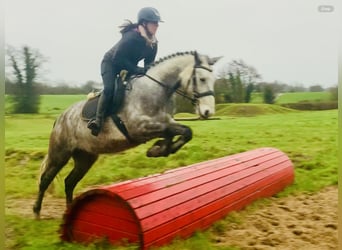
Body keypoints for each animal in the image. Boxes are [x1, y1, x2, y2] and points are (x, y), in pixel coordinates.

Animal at [32, 51, 219, 219]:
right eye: (202, 79)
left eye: (213, 80)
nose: (208, 112)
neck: (155, 90)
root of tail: (60, 118)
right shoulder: (141, 128)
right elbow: (176, 131)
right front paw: (158, 149)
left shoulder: (165, 122)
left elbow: (183, 131)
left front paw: (159, 149)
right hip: (60, 153)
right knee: (45, 179)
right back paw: (36, 212)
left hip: (85, 157)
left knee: (69, 182)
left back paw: (69, 212)